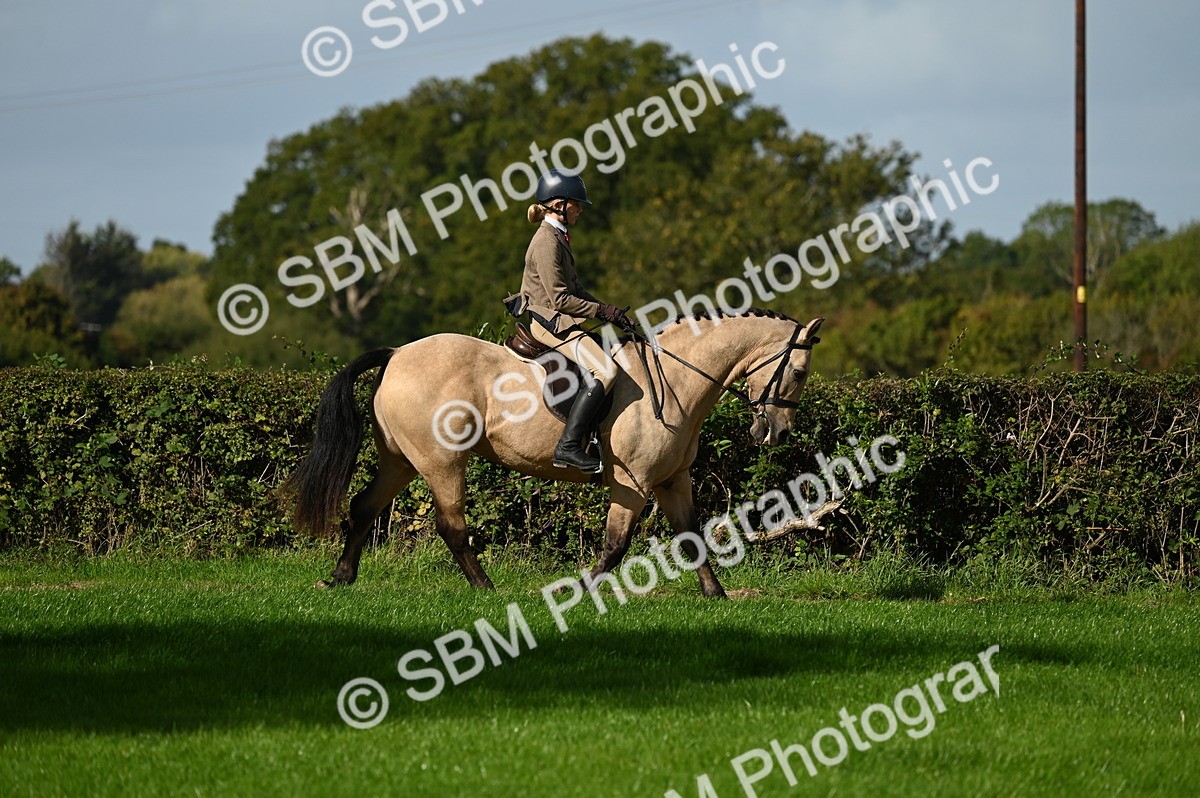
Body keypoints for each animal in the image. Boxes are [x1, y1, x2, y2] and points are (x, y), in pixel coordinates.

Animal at [284, 309, 824, 598]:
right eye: (798, 372)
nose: (776, 433)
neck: (678, 382)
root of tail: (398, 354)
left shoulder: (674, 479)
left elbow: (692, 537)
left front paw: (717, 595)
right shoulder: (632, 482)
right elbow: (616, 545)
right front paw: (578, 592)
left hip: (400, 460)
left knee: (364, 507)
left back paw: (340, 577)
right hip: (442, 462)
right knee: (451, 526)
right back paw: (485, 587)